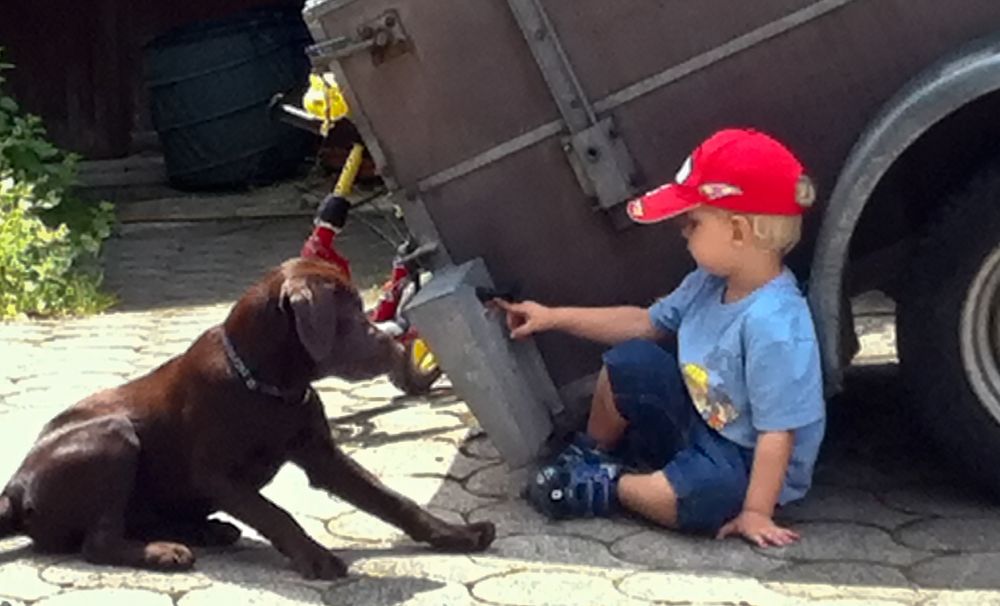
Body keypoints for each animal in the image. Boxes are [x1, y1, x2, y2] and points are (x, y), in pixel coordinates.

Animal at [0, 256, 494, 580]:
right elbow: (275, 513)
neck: (268, 387)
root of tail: (15, 492)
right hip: (113, 437)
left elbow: (394, 501)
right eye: (348, 313)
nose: (395, 344)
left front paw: (458, 535)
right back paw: (166, 551)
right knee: (98, 543)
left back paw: (207, 530)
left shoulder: (322, 456)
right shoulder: (218, 475)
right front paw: (315, 558)